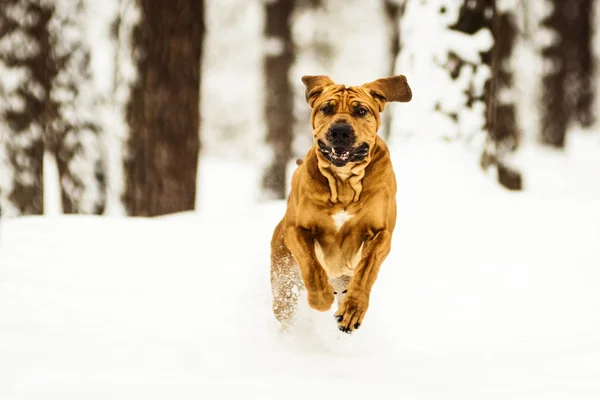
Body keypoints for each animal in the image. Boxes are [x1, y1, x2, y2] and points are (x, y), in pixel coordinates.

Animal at [270, 73, 410, 332]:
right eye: (326, 108)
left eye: (361, 111)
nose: (340, 131)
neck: (344, 183)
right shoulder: (296, 229)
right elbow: (311, 264)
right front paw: (321, 298)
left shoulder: (381, 234)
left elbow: (366, 271)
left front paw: (353, 309)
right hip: (282, 278)